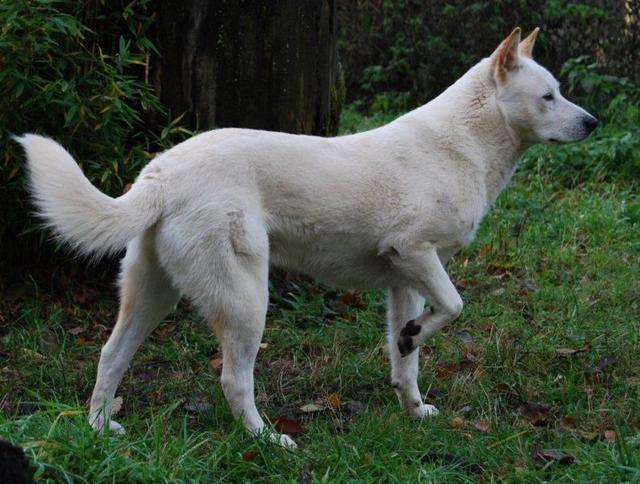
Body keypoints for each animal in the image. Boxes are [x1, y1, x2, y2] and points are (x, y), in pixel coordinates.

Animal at [20, 28, 600, 448]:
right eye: (548, 96)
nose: (593, 123)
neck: (463, 143)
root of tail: (161, 175)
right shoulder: (415, 252)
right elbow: (455, 306)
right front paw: (418, 341)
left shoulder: (405, 280)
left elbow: (406, 360)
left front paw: (414, 405)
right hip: (246, 300)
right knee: (233, 380)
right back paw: (268, 441)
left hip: (152, 294)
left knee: (110, 356)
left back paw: (99, 429)